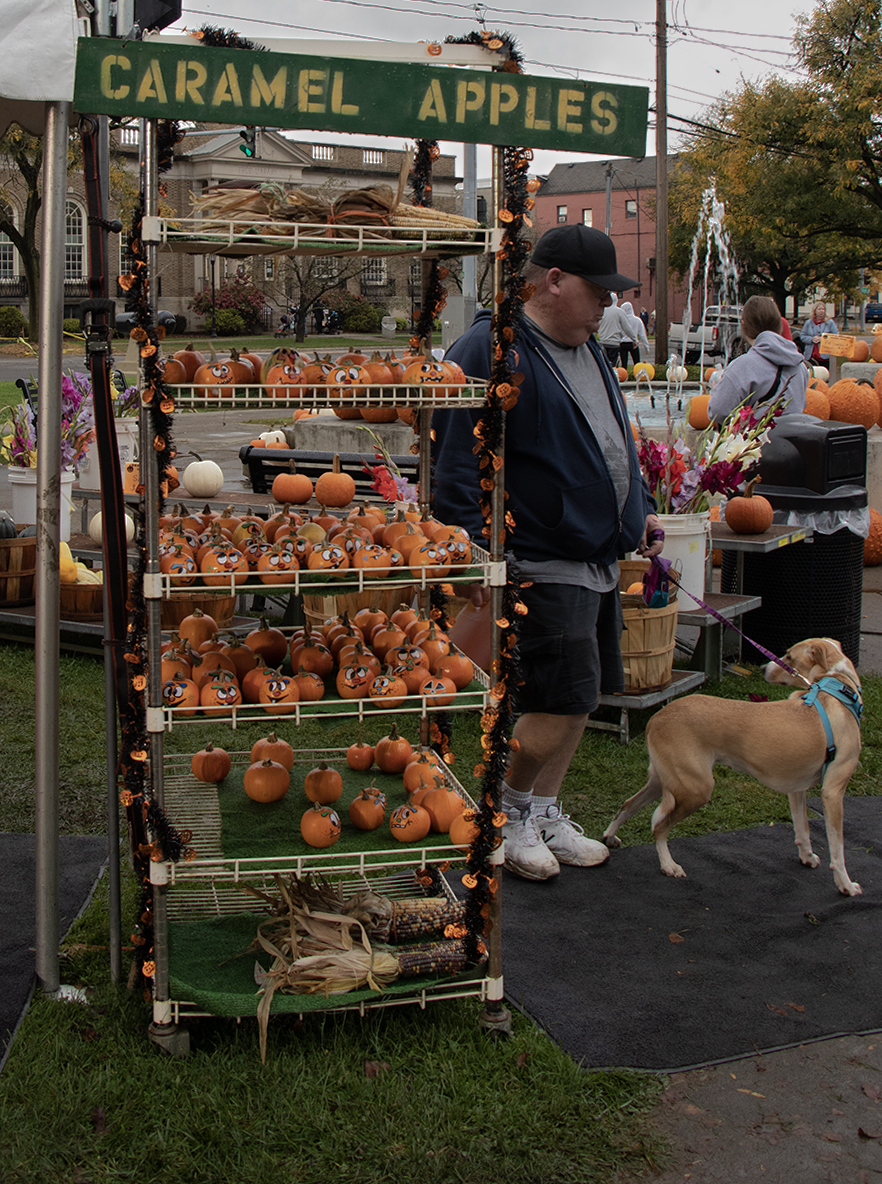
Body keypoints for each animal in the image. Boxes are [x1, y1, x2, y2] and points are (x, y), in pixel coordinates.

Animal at [602, 638, 863, 896]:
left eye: (789, 657)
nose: (763, 668)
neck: (838, 688)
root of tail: (657, 717)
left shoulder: (796, 789)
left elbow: (803, 830)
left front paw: (807, 857)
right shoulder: (832, 792)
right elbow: (837, 849)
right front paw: (846, 885)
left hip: (665, 781)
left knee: (628, 805)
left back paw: (610, 836)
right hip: (695, 789)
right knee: (659, 826)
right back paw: (668, 865)